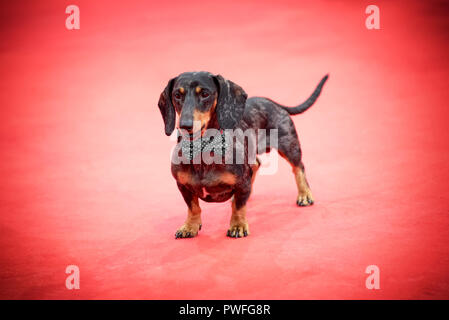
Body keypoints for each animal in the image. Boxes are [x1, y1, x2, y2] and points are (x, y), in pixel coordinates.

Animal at [158, 72, 326, 238]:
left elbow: (238, 207)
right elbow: (193, 207)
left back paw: (305, 194)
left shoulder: (242, 181)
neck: (203, 150)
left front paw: (237, 226)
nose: (185, 125)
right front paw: (190, 226)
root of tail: (271, 102)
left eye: (205, 94)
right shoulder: (182, 185)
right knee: (257, 164)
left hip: (288, 145)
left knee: (298, 167)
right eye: (177, 95)